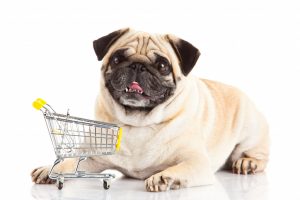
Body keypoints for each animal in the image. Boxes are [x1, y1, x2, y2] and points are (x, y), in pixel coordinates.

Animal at [31, 28, 270, 192]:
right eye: (117, 58)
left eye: (163, 66)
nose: (137, 65)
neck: (138, 122)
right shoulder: (92, 158)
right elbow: (71, 162)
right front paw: (50, 170)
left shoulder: (197, 162)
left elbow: (180, 168)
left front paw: (165, 177)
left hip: (250, 130)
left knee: (256, 153)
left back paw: (247, 162)